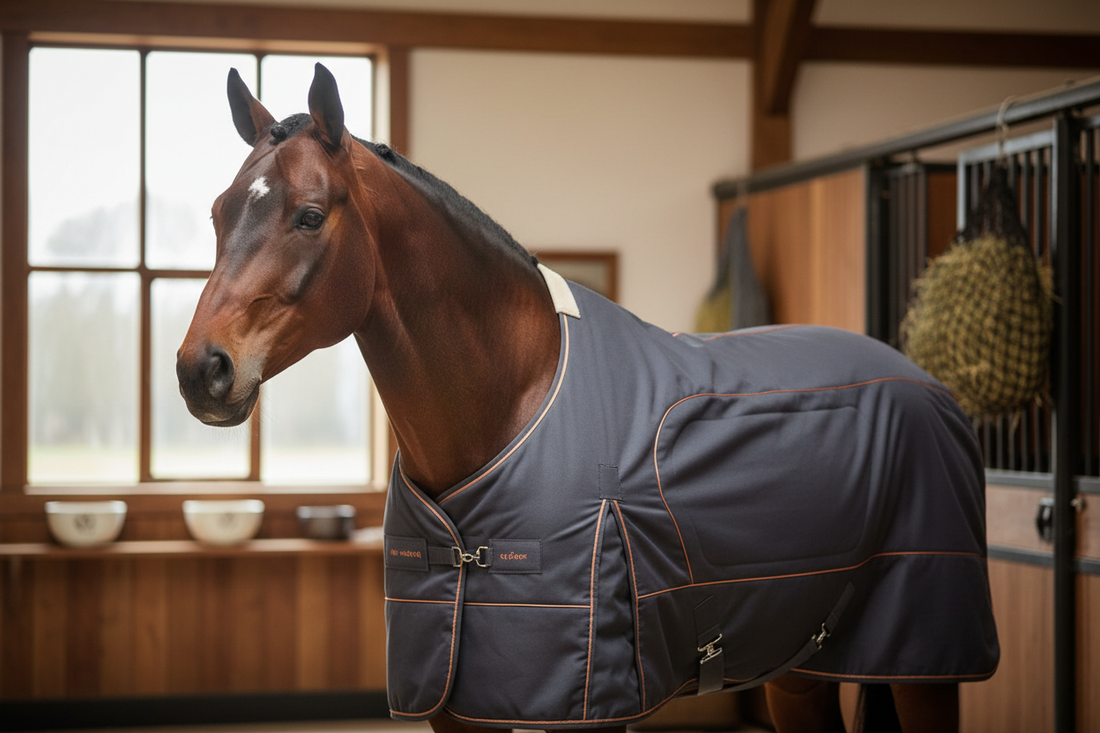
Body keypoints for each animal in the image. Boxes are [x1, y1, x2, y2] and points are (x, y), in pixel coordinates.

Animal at [177, 64, 999, 733]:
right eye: (217, 213)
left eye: (310, 215)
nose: (200, 370)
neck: (515, 400)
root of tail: (926, 382)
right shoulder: (456, 708)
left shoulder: (591, 706)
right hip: (799, 666)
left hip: (926, 666)